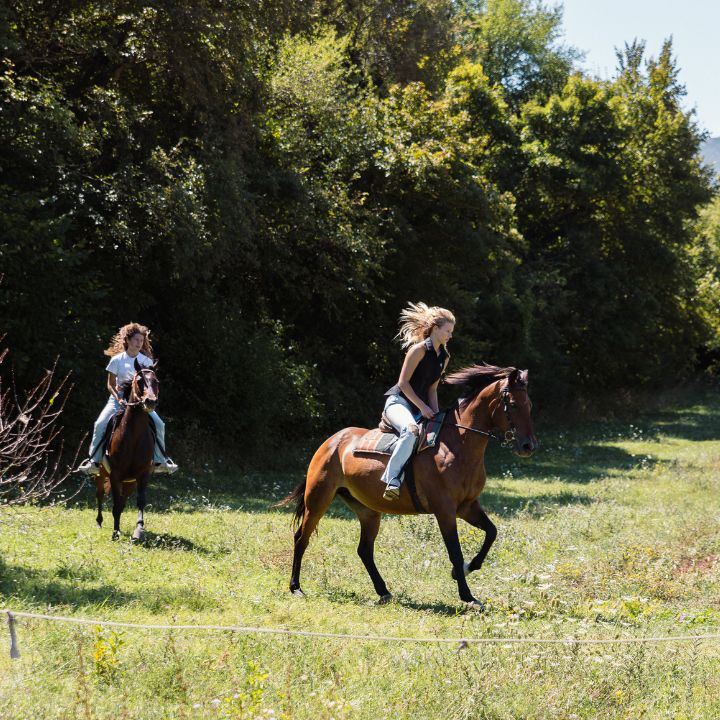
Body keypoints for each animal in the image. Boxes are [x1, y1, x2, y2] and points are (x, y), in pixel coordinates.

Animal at [94, 360, 159, 541]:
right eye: (139, 381)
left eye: (156, 382)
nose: (150, 401)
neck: (134, 437)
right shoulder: (115, 474)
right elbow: (116, 503)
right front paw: (115, 532)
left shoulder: (142, 474)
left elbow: (140, 501)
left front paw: (139, 529)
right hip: (101, 474)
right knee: (100, 495)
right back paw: (99, 522)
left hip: (129, 482)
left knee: (123, 501)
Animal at [278, 364, 538, 609]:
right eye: (512, 404)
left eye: (529, 405)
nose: (528, 446)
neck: (458, 445)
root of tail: (331, 441)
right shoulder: (445, 510)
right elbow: (455, 551)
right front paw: (468, 596)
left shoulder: (467, 506)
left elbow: (491, 533)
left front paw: (464, 569)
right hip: (318, 499)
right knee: (301, 537)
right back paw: (296, 587)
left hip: (367, 510)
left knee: (364, 550)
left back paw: (383, 591)